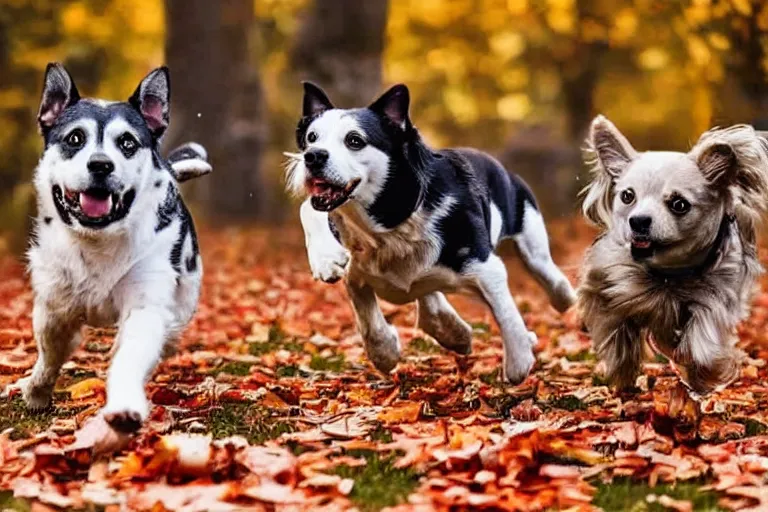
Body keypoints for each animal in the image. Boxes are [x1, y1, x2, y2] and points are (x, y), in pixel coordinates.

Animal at [15, 63, 212, 432]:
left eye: (128, 143)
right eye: (75, 138)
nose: (101, 164)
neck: (98, 240)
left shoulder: (145, 305)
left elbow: (130, 355)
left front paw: (124, 406)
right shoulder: (54, 308)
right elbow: (49, 353)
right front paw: (36, 391)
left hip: (183, 297)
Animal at [288, 82, 576, 382]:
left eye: (354, 140)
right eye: (311, 137)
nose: (313, 156)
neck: (389, 221)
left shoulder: (485, 266)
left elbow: (506, 311)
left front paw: (518, 361)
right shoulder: (356, 272)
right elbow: (369, 321)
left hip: (527, 228)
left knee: (544, 271)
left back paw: (563, 297)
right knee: (430, 304)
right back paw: (454, 332)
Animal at [580, 116, 768, 392]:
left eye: (679, 204)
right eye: (627, 196)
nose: (638, 221)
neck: (669, 273)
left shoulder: (716, 297)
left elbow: (701, 340)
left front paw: (705, 375)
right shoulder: (608, 284)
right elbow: (614, 330)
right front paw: (622, 373)